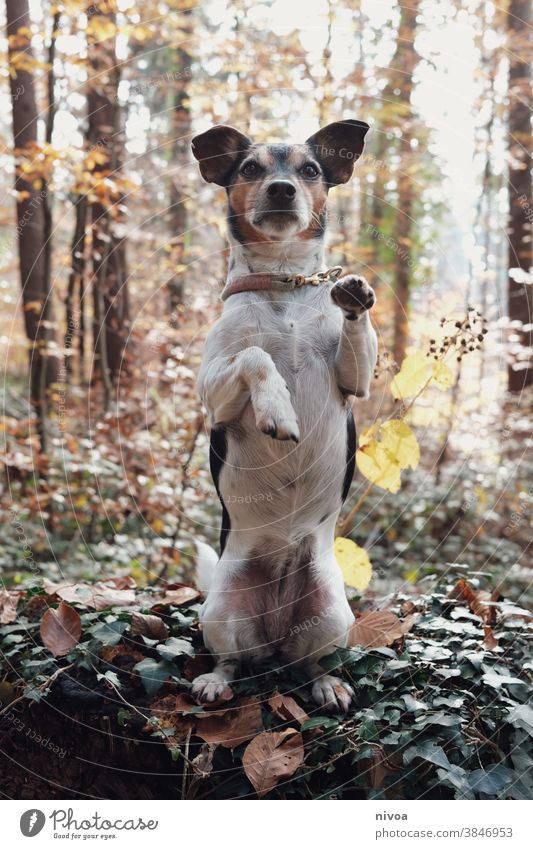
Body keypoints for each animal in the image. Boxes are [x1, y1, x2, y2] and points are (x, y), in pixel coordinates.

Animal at [189, 119, 376, 712]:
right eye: (250, 168)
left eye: (310, 170)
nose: (281, 189)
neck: (282, 284)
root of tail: (272, 633)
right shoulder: (214, 393)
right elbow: (255, 355)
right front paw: (279, 412)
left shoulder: (354, 382)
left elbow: (356, 346)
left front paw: (354, 294)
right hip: (221, 609)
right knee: (233, 659)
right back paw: (216, 681)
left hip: (332, 613)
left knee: (307, 663)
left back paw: (327, 684)